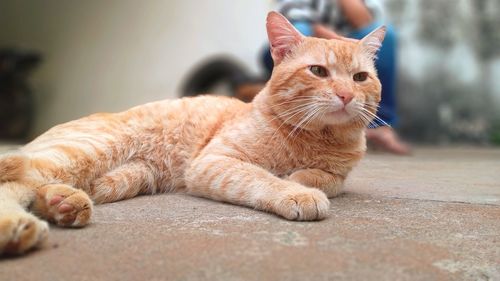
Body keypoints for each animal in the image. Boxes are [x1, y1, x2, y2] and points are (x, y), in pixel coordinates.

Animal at [0, 12, 386, 255]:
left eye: (360, 78)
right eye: (318, 71)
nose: (346, 95)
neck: (314, 138)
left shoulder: (339, 173)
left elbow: (328, 179)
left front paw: (301, 178)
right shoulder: (215, 161)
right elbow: (262, 177)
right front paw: (295, 190)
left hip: (124, 179)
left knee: (41, 188)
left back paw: (62, 204)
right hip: (82, 151)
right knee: (16, 182)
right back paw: (17, 227)